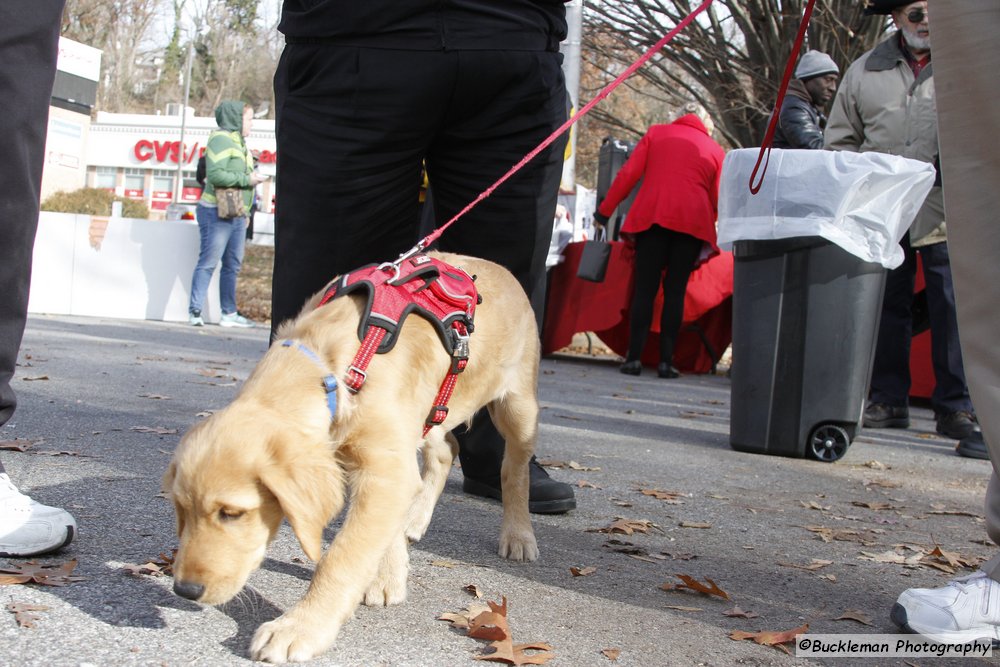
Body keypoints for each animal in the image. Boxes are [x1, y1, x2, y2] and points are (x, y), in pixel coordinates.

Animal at [162, 253, 540, 664]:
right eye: (180, 509)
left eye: (232, 513)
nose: (184, 590)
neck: (333, 368)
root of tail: (502, 271)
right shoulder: (389, 460)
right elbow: (383, 524)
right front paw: (389, 575)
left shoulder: (385, 467)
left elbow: (342, 556)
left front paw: (301, 627)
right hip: (430, 415)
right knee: (444, 451)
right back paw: (416, 518)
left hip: (518, 405)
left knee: (514, 469)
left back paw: (518, 535)